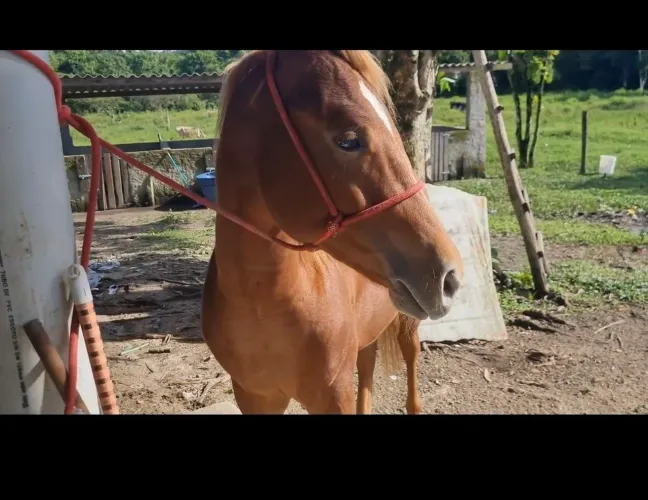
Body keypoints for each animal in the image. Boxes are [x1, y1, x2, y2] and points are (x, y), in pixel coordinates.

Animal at [200, 50, 464, 414]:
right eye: (348, 140)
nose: (450, 275)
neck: (262, 302)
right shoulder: (255, 397)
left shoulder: (333, 395)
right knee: (367, 366)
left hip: (406, 325)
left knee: (410, 363)